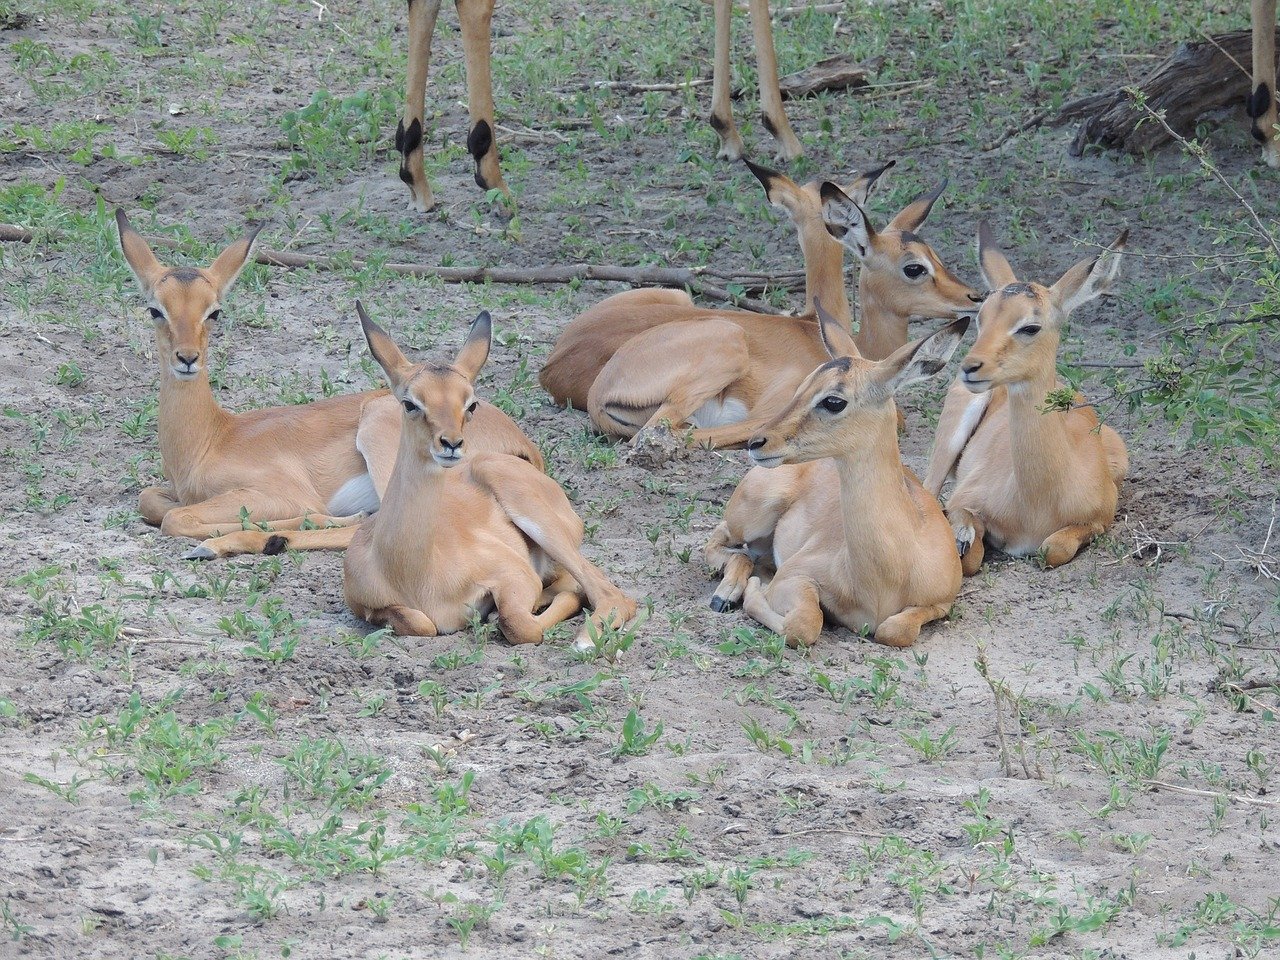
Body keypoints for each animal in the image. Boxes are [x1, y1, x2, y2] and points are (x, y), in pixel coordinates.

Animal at [115, 209, 540, 560]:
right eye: (155, 309)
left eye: (214, 311)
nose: (187, 359)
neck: (210, 438)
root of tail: (522, 446)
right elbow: (150, 500)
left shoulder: (277, 492)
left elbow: (178, 518)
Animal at [268, 305, 637, 648]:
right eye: (410, 402)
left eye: (470, 404)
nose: (451, 443)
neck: (413, 573)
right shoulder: (369, 604)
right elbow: (419, 622)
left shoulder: (515, 575)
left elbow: (520, 625)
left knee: (613, 595)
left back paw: (583, 639)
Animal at [704, 301, 968, 648]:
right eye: (802, 387)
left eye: (833, 400)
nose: (756, 442)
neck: (887, 576)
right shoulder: (795, 576)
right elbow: (805, 624)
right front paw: (754, 590)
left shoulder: (940, 602)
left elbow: (895, 630)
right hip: (751, 516)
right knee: (722, 542)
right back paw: (725, 594)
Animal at [922, 223, 1130, 575]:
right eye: (981, 318)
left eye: (1030, 326)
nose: (970, 367)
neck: (1037, 502)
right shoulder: (964, 499)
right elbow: (970, 551)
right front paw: (966, 537)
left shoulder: (1099, 518)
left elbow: (1053, 548)